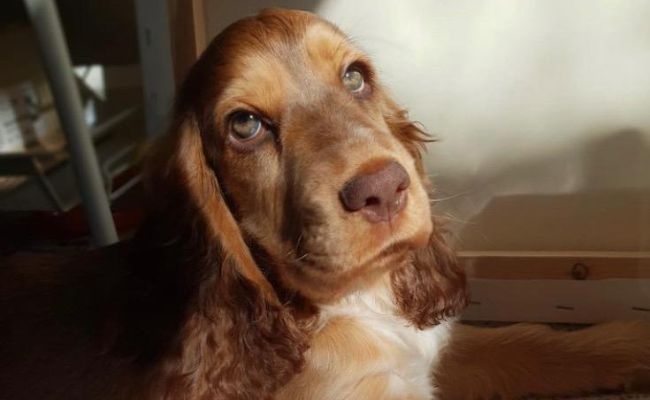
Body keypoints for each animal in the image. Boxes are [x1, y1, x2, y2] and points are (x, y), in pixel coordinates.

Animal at [1, 7, 648, 398]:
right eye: (244, 126)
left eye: (356, 77)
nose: (384, 189)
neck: (346, 300)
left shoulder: (424, 358)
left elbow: (531, 339)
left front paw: (630, 340)